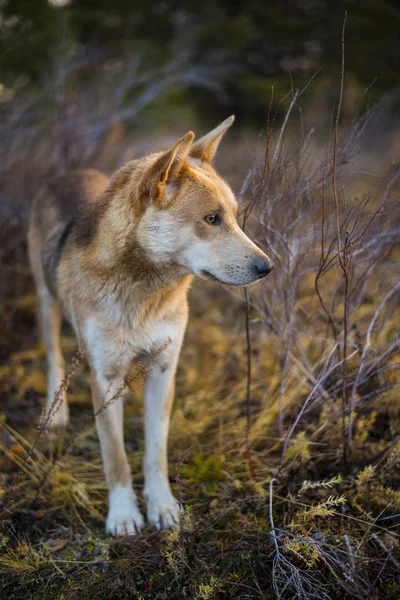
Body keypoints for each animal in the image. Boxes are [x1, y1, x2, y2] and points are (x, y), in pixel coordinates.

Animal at [27, 116, 272, 536]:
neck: (144, 292)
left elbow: (155, 452)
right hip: (45, 304)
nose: (267, 267)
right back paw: (53, 415)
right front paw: (124, 514)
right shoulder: (104, 378)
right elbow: (116, 457)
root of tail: (68, 172)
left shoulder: (163, 369)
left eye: (235, 216)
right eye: (211, 219)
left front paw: (161, 506)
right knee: (54, 358)